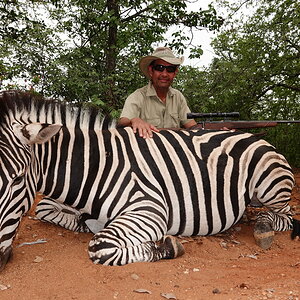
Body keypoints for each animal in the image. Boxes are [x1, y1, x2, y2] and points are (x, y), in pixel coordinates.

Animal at [0, 89, 298, 270]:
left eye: (17, 180)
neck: (94, 167)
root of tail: (252, 135)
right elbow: (44, 209)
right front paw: (84, 221)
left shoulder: (149, 208)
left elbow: (101, 246)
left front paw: (168, 246)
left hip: (270, 184)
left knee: (285, 216)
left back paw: (262, 228)